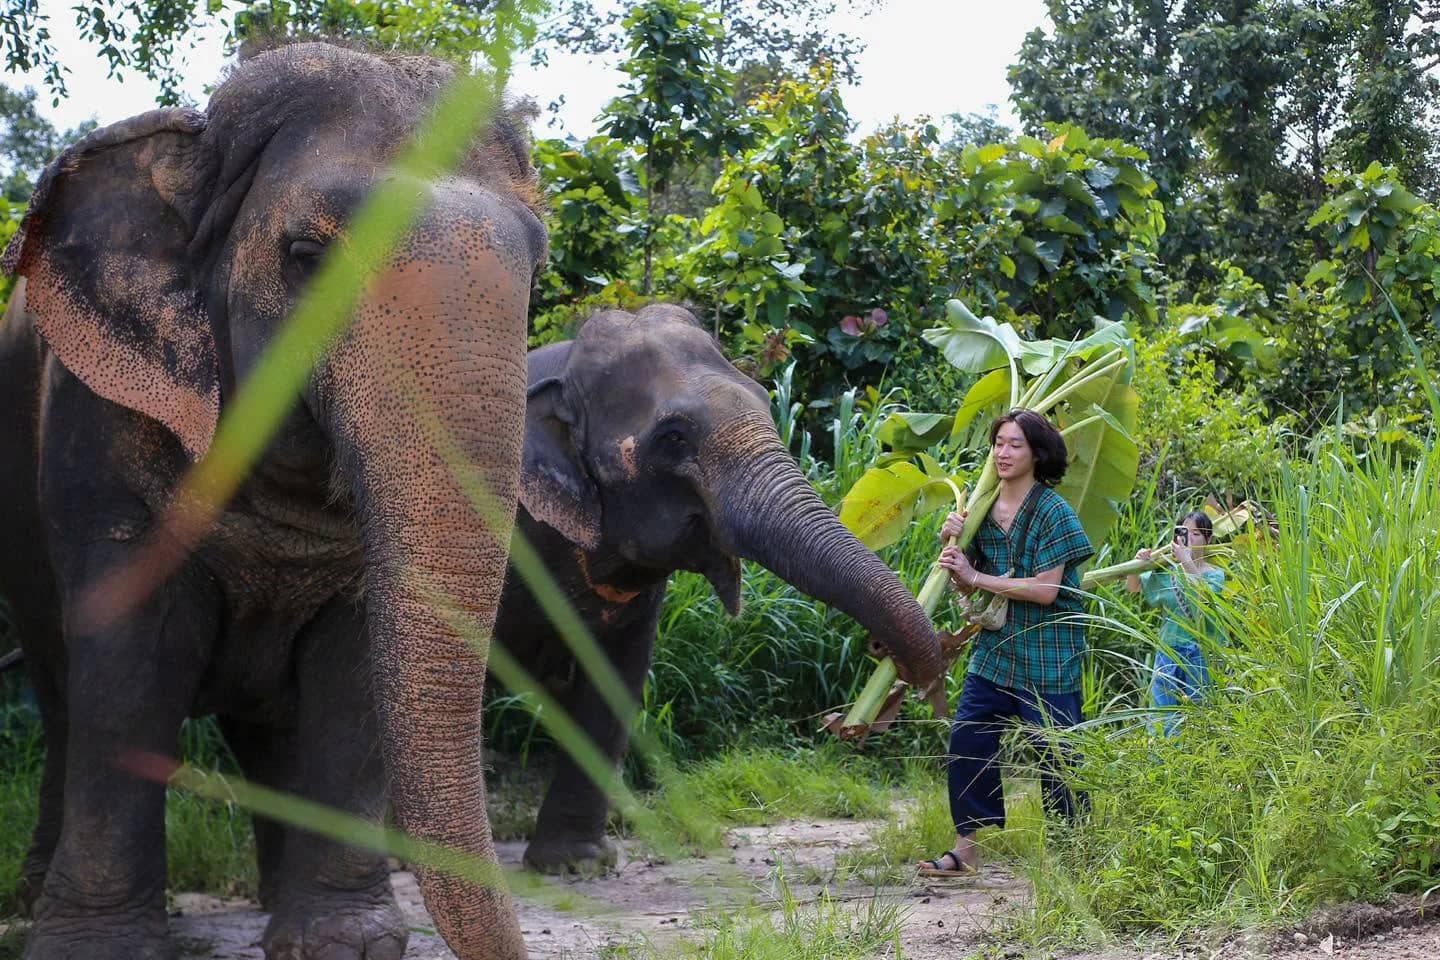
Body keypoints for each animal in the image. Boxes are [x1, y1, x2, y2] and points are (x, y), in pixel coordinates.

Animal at [0, 42, 546, 960]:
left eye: (538, 267)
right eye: (302, 254)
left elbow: (353, 680)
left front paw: (346, 943)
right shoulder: (99, 425)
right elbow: (128, 668)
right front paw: (94, 950)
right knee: (63, 694)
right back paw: (37, 895)